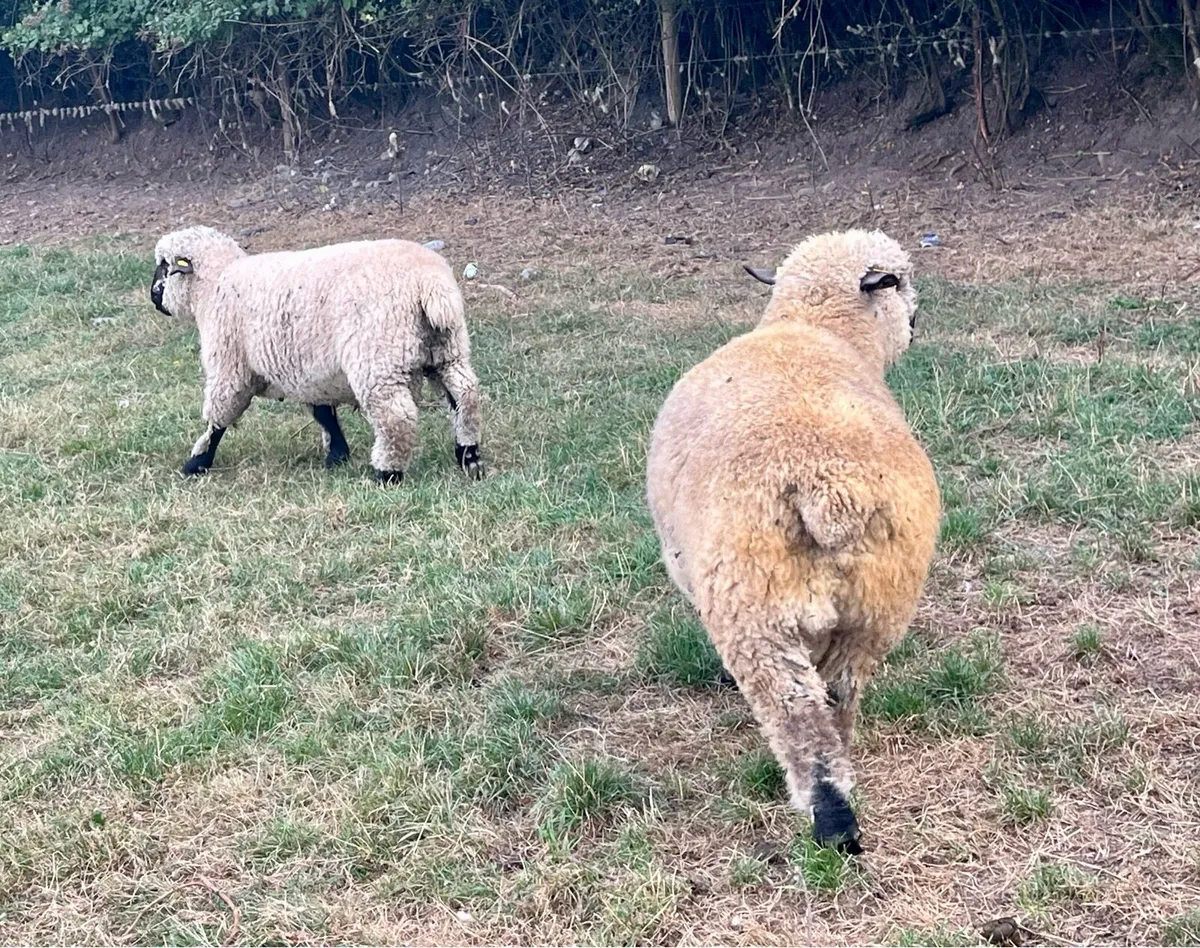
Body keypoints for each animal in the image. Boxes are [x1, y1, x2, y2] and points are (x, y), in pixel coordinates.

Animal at [150, 226, 484, 483]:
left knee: (396, 419)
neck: (213, 286)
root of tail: (431, 284)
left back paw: (387, 473)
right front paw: (337, 454)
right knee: (465, 397)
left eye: (166, 266)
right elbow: (323, 413)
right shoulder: (309, 368)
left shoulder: (230, 367)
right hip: (448, 351)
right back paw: (469, 455)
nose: (153, 297)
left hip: (378, 360)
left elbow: (218, 419)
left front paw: (197, 462)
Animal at [645, 229, 940, 853]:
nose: (916, 321)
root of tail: (826, 486)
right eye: (901, 282)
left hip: (755, 613)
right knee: (838, 698)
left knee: (797, 719)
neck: (813, 329)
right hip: (876, 607)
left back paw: (831, 822)